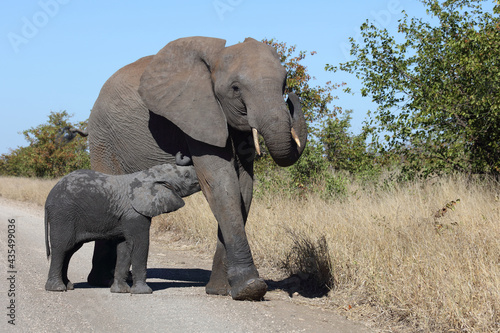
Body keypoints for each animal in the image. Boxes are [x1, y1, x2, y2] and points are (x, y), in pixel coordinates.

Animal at [43, 163, 199, 294]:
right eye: (186, 175)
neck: (149, 175)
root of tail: (49, 198)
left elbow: (125, 248)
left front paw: (121, 291)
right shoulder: (134, 213)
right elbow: (139, 244)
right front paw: (143, 292)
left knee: (70, 250)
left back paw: (68, 286)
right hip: (63, 214)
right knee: (63, 247)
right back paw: (57, 289)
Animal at [86, 35, 306, 300]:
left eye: (284, 85)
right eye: (235, 88)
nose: (292, 97)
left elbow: (243, 187)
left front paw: (221, 291)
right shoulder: (196, 113)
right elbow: (220, 182)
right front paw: (251, 288)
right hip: (103, 139)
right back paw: (102, 281)